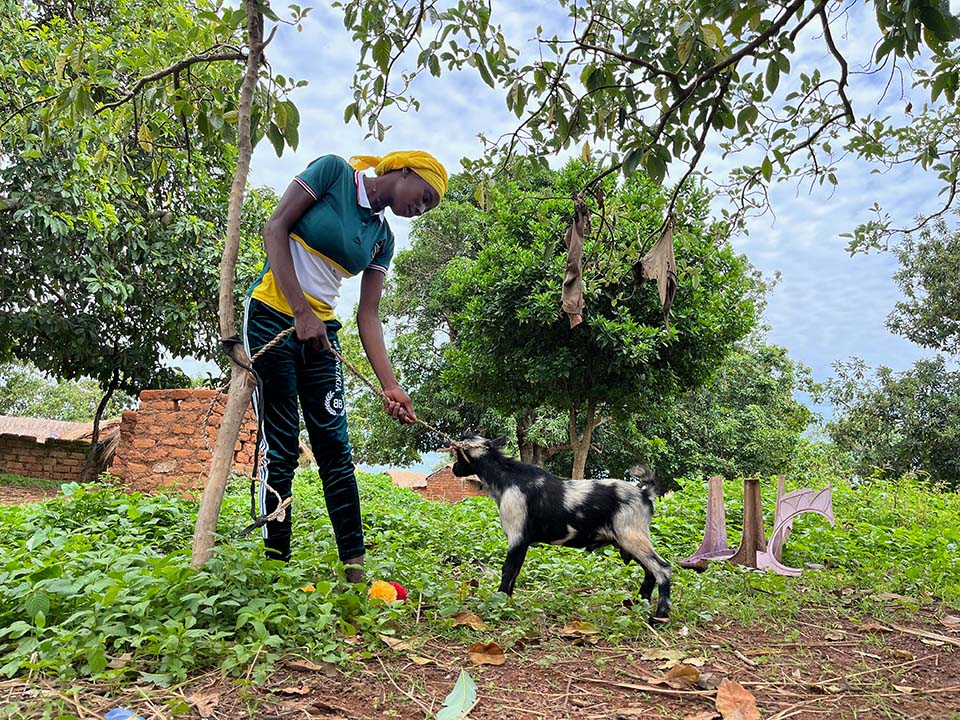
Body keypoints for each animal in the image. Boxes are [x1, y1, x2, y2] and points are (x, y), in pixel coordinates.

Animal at [452, 436, 672, 620]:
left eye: (458, 454)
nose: (454, 468)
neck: (508, 477)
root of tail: (645, 494)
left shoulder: (517, 537)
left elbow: (508, 571)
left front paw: (499, 603)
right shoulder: (522, 542)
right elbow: (515, 572)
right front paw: (508, 602)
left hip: (631, 536)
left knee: (662, 569)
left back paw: (659, 617)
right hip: (628, 541)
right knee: (650, 571)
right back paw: (639, 604)